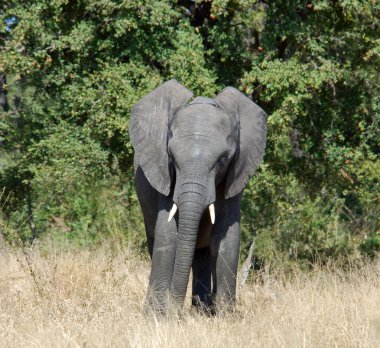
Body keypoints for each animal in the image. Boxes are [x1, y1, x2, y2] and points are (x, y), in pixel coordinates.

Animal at [129, 80, 266, 314]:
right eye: (172, 159)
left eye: (222, 161)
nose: (174, 310)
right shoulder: (166, 176)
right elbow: (168, 234)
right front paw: (156, 316)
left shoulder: (234, 175)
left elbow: (227, 236)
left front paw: (225, 317)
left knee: (202, 253)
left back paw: (202, 311)